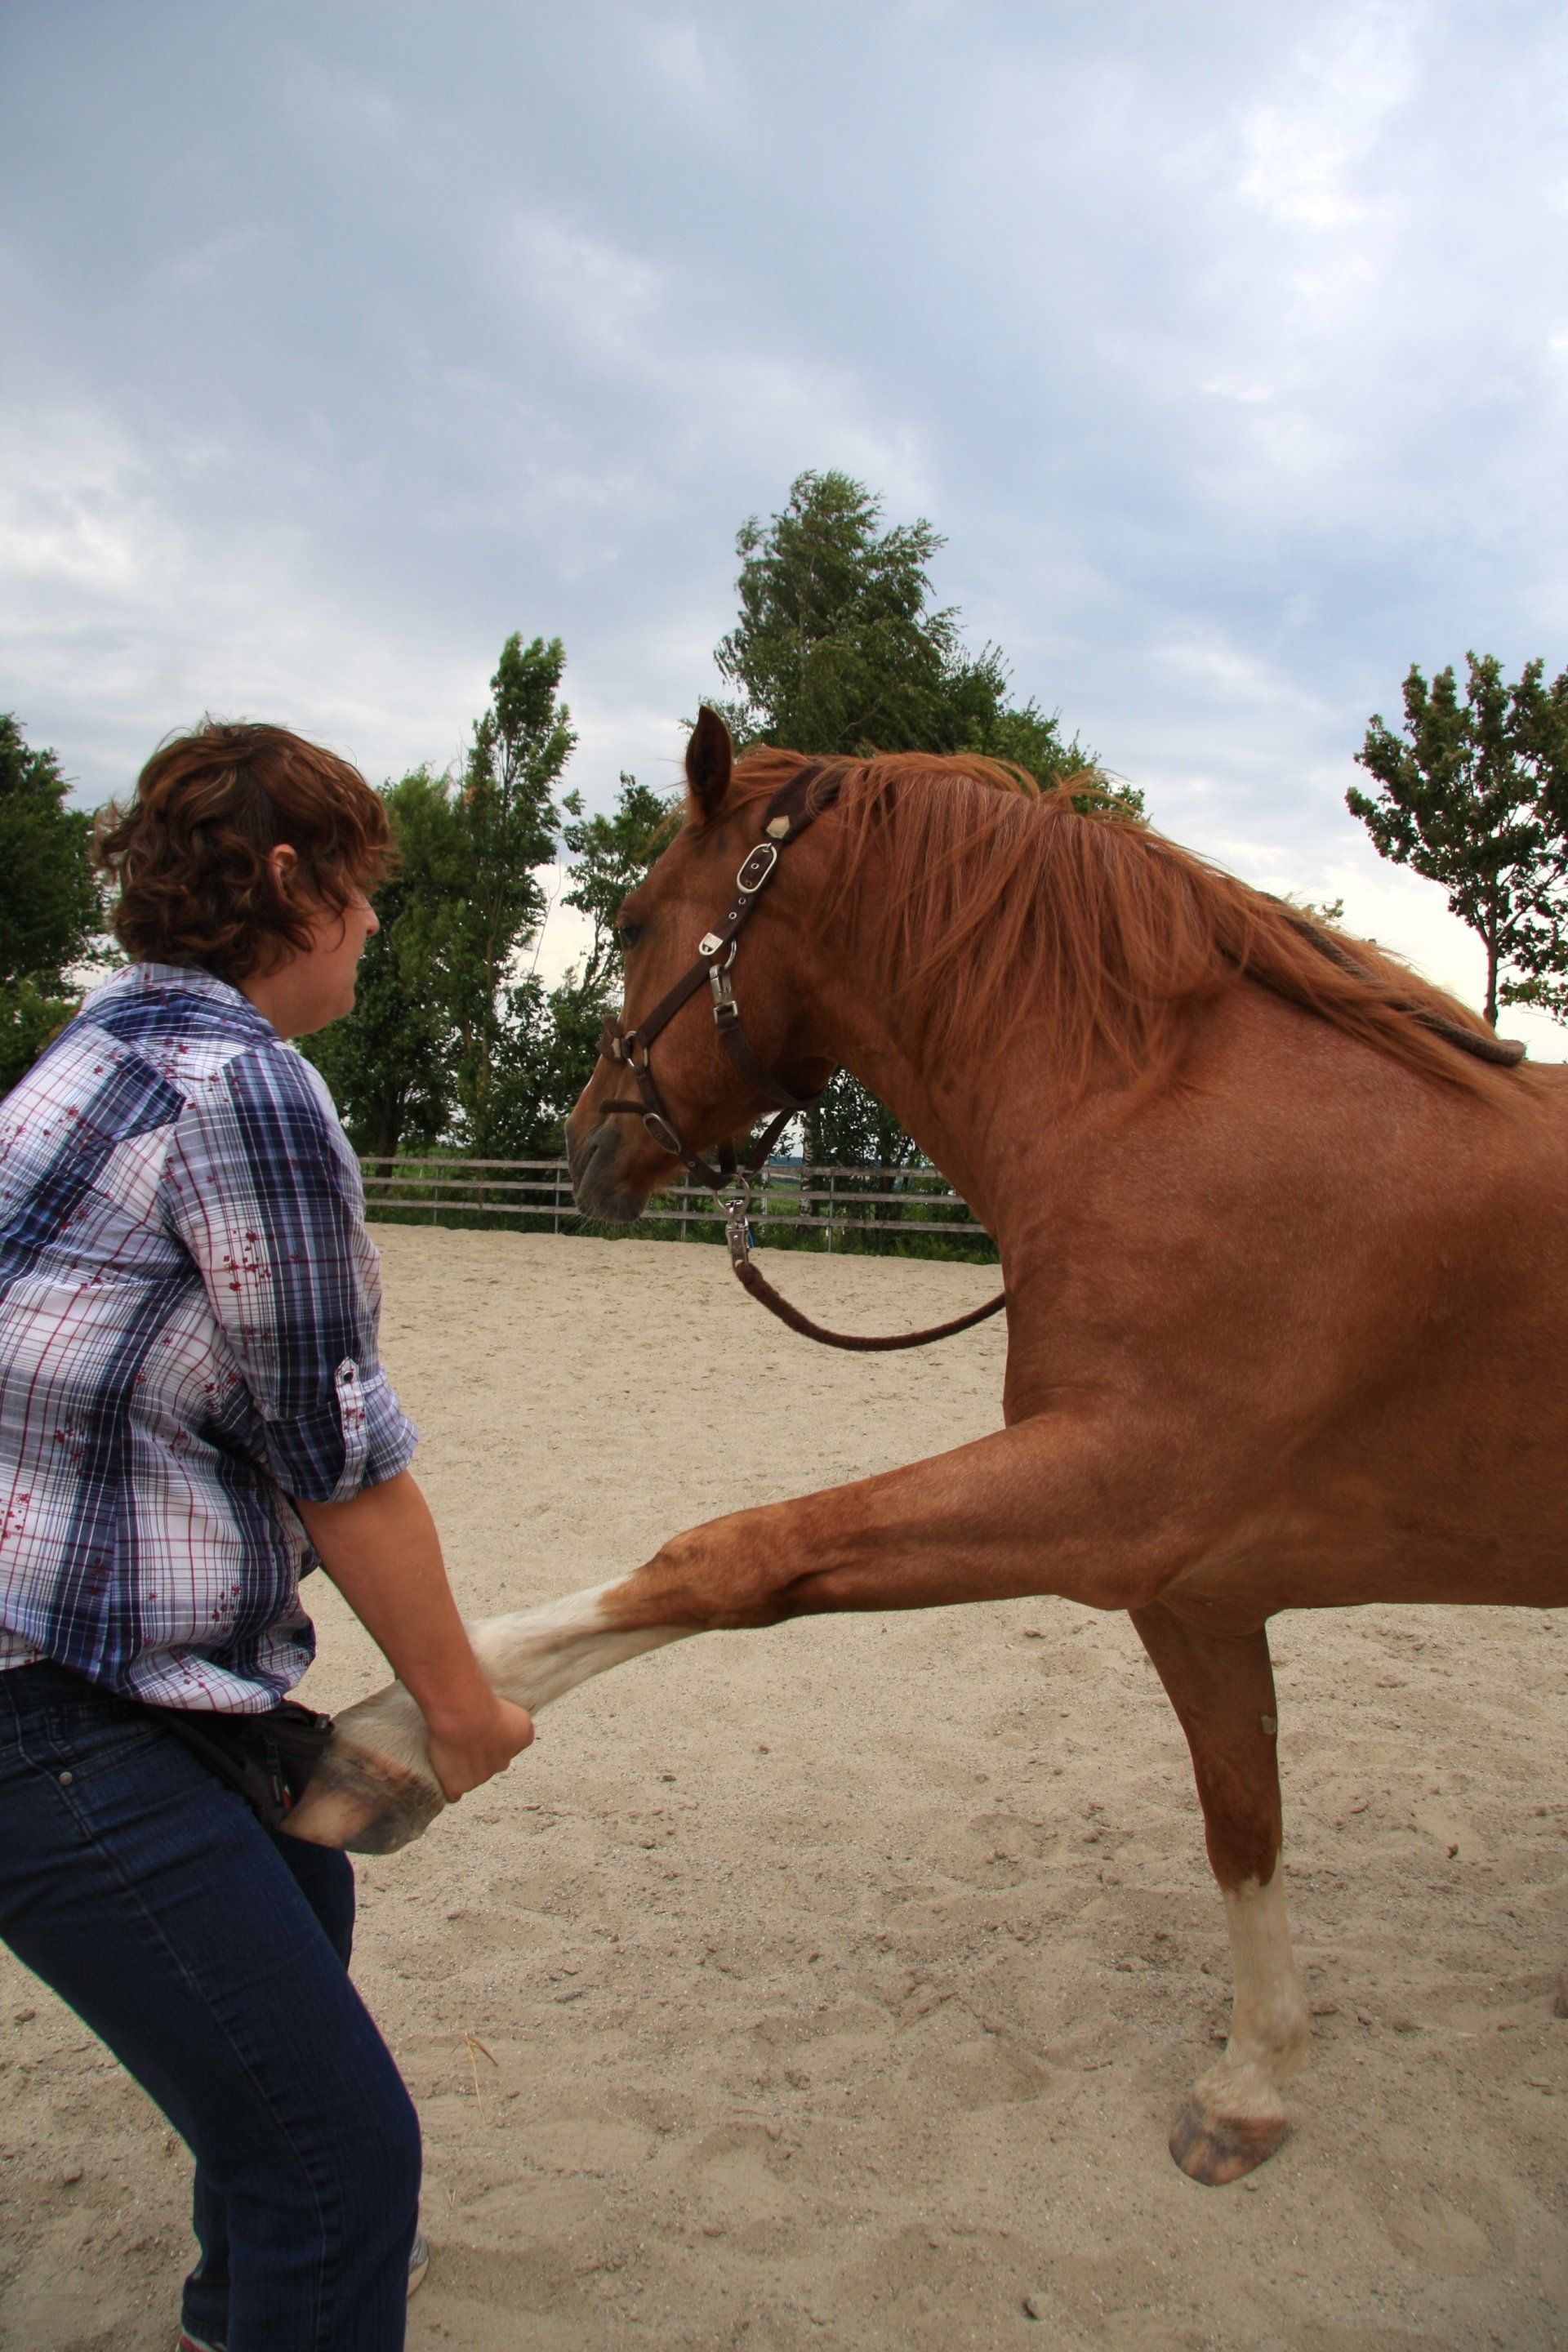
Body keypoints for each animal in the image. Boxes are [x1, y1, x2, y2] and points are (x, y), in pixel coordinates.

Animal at [287, 708, 1568, 2187]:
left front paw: (392, 1741)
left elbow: (734, 1556)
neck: (1169, 1123)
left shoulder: (1112, 1499)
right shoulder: (1194, 1587)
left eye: (632, 917)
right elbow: (1242, 1818)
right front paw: (1252, 2080)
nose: (587, 1140)